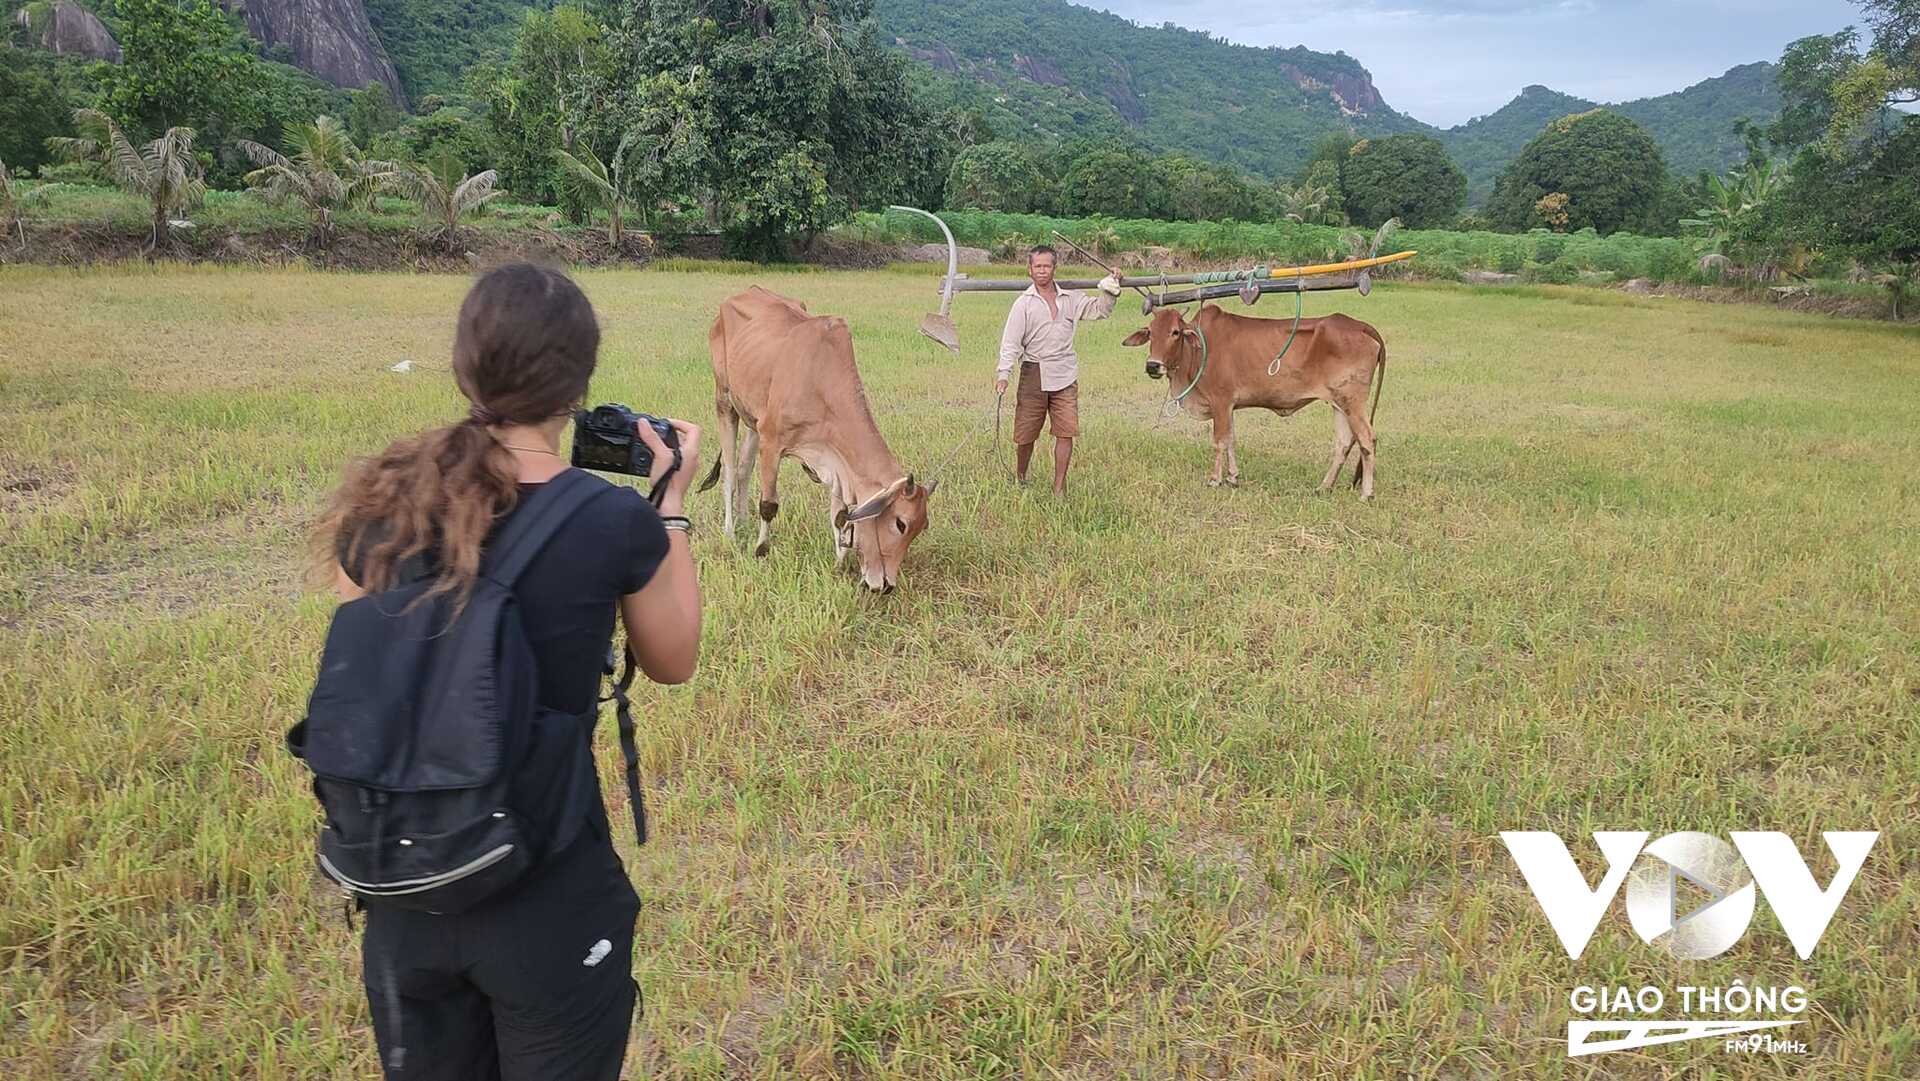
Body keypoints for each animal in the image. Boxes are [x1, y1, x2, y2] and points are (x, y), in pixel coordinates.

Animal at [702, 288, 933, 591]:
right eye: (900, 524)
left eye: (921, 528)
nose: (885, 586)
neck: (820, 379)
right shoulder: (772, 442)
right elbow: (769, 505)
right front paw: (761, 550)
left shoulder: (835, 461)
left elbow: (840, 516)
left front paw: (839, 563)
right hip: (725, 401)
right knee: (730, 471)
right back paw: (730, 531)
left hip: (752, 419)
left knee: (743, 470)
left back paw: (743, 522)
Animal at [1121, 305, 1390, 499]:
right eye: (1150, 331)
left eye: (1175, 332)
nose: (1152, 365)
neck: (1197, 351)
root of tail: (1361, 326)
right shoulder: (1229, 406)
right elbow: (1231, 439)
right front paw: (1233, 477)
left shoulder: (1220, 401)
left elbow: (1219, 441)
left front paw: (1215, 479)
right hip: (1338, 403)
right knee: (1344, 442)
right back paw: (1324, 487)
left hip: (1353, 402)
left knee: (1367, 439)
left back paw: (1366, 493)